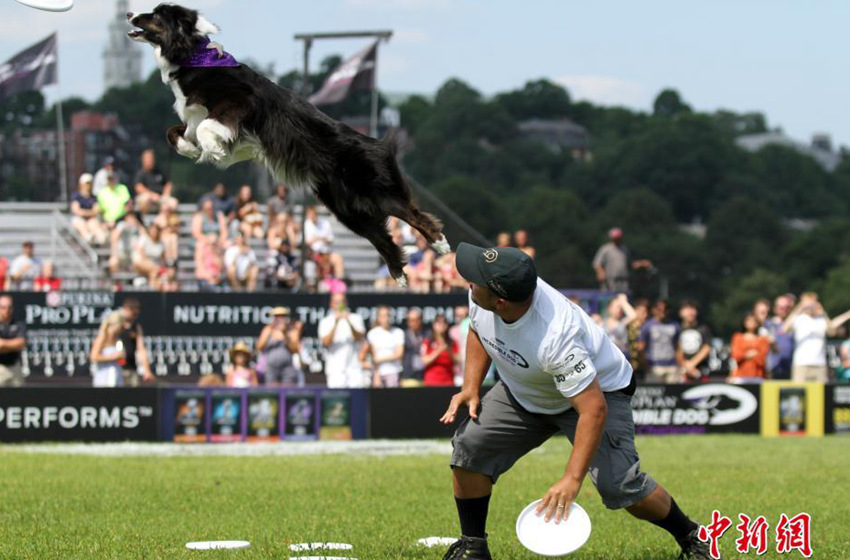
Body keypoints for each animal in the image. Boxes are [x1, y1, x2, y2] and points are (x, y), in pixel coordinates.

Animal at [126, 3, 448, 284]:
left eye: (155, 14)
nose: (128, 13)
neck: (191, 56)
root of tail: (374, 142)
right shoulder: (197, 119)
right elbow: (173, 132)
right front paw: (193, 149)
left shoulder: (240, 103)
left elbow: (206, 126)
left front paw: (213, 149)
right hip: (345, 207)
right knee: (382, 236)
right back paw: (399, 274)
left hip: (372, 191)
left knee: (413, 214)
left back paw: (440, 244)